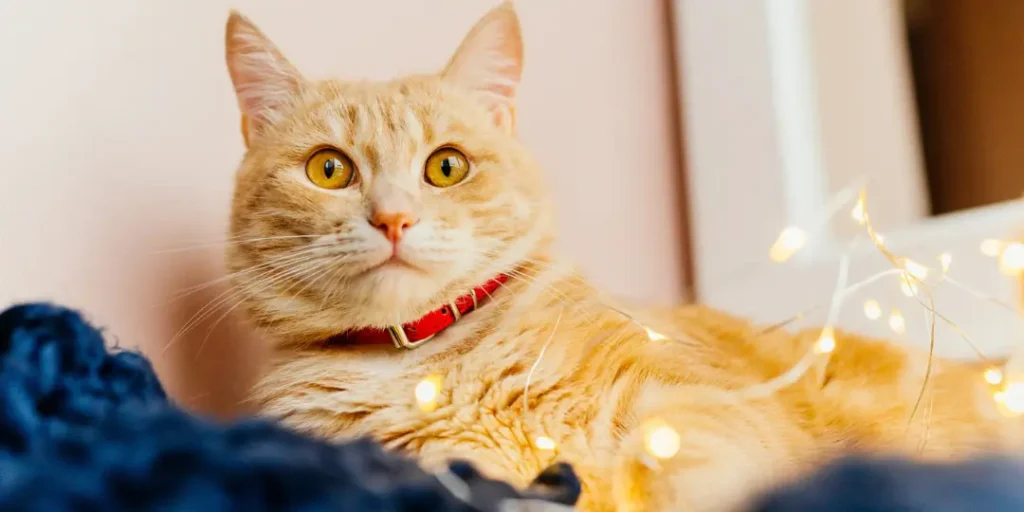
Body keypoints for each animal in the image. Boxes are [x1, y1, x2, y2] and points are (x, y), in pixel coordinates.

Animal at [222, 4, 1015, 512]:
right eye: (329, 170)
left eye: (446, 167)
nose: (393, 218)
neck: (433, 365)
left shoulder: (697, 399)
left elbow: (689, 456)